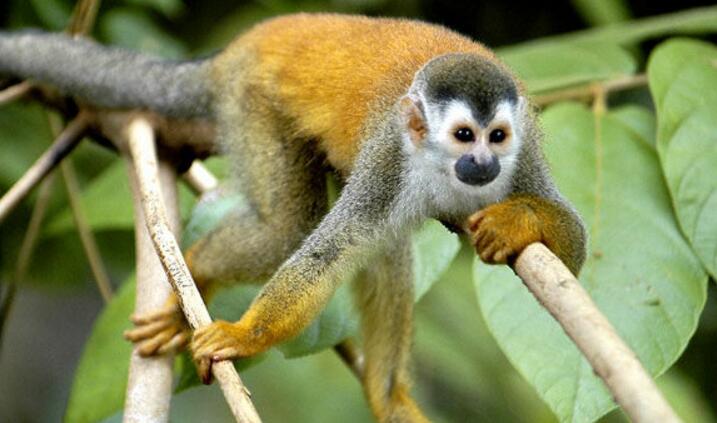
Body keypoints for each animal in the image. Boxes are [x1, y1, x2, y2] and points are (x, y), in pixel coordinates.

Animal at [0, 13, 586, 422]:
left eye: (498, 136)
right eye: (465, 135)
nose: (483, 164)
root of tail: (251, 39)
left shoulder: (526, 154)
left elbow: (574, 252)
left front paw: (516, 223)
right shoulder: (388, 157)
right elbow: (321, 255)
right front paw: (247, 336)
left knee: (384, 248)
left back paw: (387, 396)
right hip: (251, 103)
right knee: (289, 230)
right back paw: (195, 271)